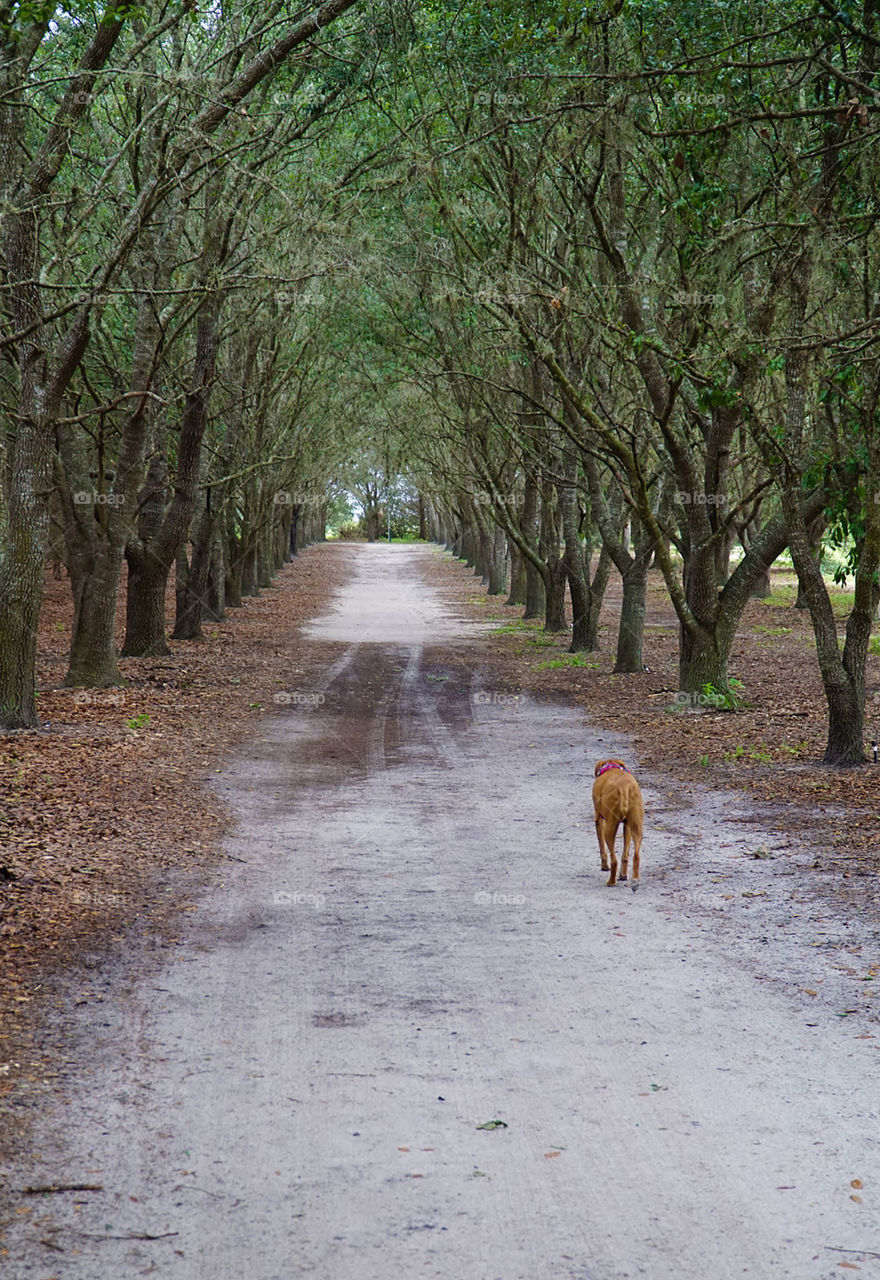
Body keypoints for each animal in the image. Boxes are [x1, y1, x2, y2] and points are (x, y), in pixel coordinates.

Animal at [593, 757, 642, 890]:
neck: (612, 767)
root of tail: (624, 787)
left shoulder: (599, 820)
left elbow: (602, 848)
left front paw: (604, 866)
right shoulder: (627, 826)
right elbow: (625, 854)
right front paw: (623, 875)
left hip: (609, 830)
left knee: (614, 860)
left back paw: (611, 881)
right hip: (636, 827)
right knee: (635, 855)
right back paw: (633, 879)